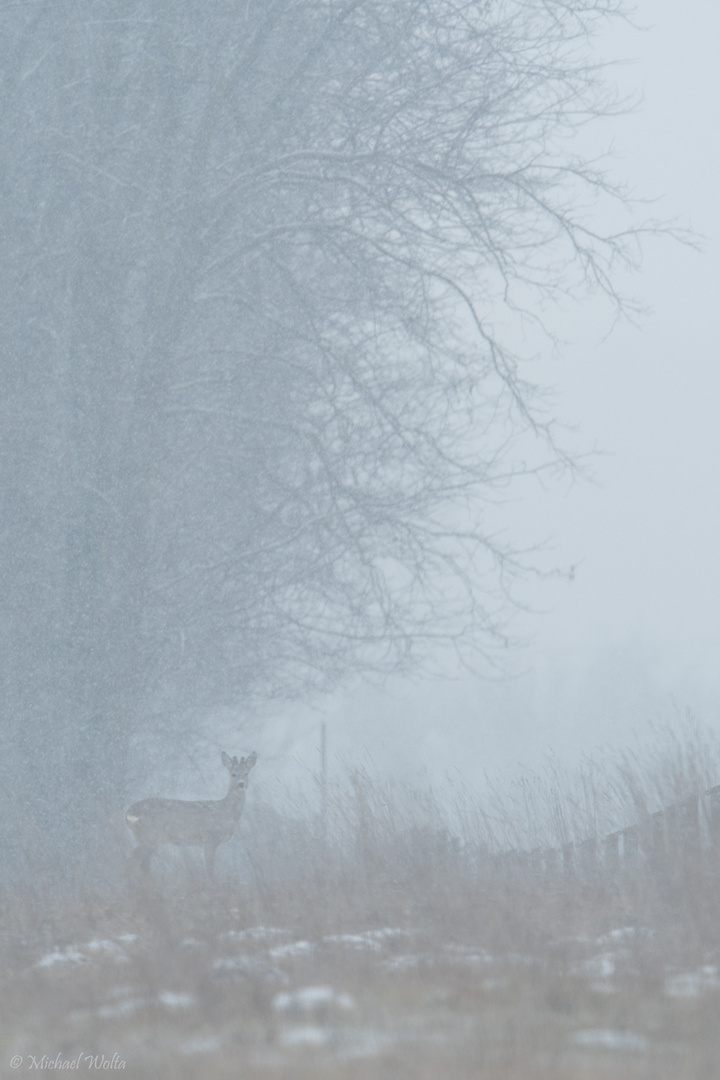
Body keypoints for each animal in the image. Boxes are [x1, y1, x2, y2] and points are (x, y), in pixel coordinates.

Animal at [126, 751, 255, 876]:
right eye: (233, 774)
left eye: (246, 773)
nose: (241, 784)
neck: (225, 812)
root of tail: (129, 812)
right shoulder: (209, 838)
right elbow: (210, 870)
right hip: (148, 836)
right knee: (134, 862)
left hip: (151, 839)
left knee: (141, 864)